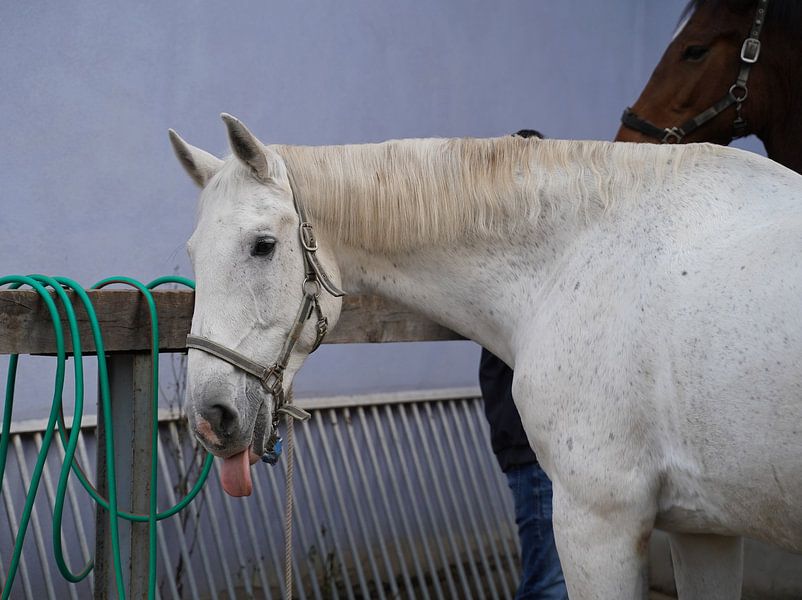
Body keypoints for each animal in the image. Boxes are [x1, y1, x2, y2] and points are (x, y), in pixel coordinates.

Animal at [169, 114, 802, 599]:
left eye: (263, 246)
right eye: (194, 252)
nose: (210, 417)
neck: (576, 255)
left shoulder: (599, 520)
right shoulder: (704, 530)